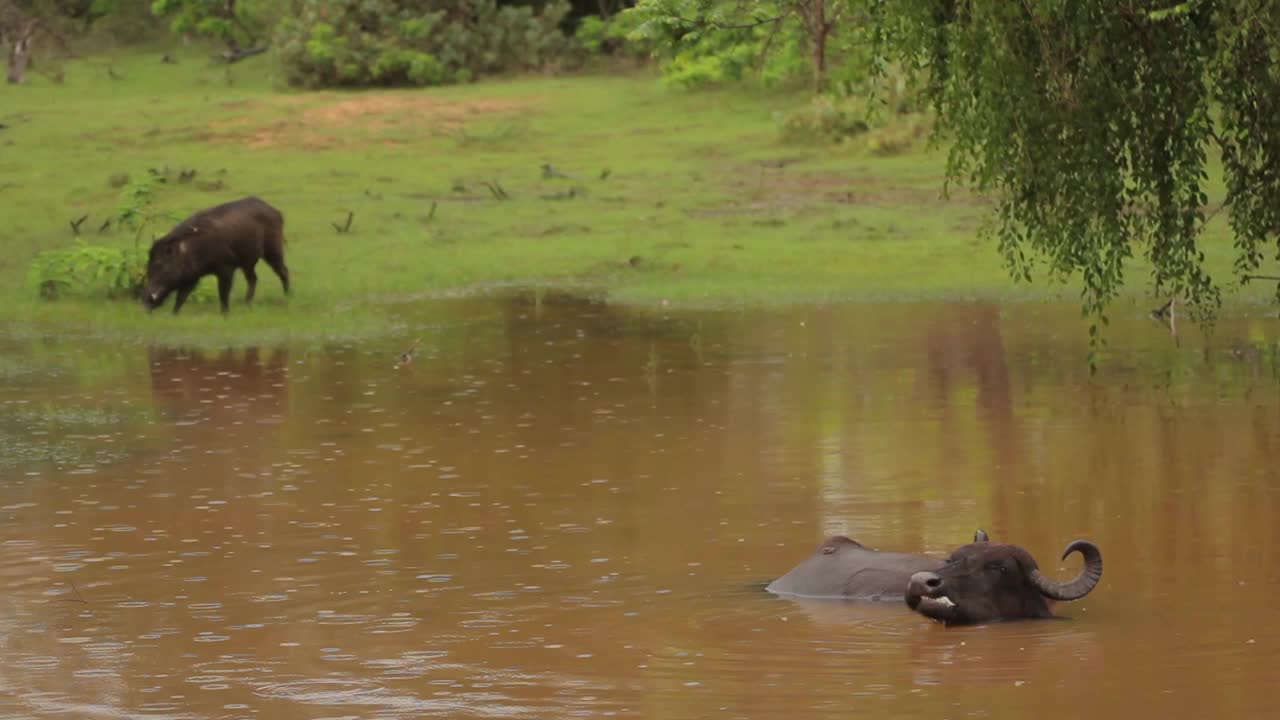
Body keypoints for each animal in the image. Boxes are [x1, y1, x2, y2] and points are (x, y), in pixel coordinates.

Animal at [145, 194, 290, 312]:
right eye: (148, 266)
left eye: (160, 265)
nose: (146, 301)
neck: (189, 250)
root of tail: (277, 212)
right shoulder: (192, 276)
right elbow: (181, 296)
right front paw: (174, 315)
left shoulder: (226, 267)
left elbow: (223, 293)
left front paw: (225, 314)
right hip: (248, 262)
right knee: (253, 278)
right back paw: (246, 303)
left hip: (273, 250)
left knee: (283, 270)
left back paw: (289, 295)